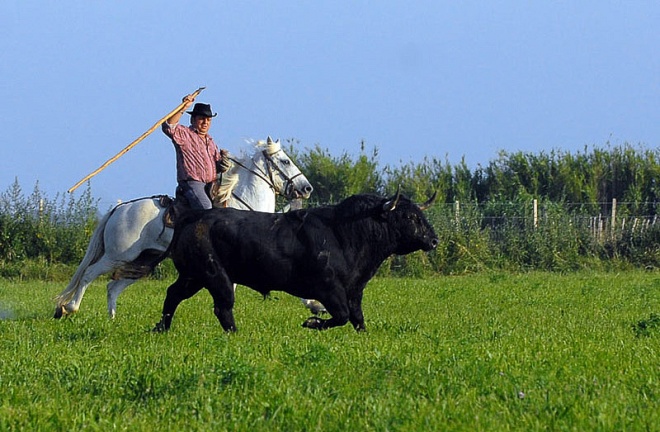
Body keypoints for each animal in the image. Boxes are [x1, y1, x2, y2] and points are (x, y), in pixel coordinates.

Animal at [51, 137, 314, 318]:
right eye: (285, 160)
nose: (307, 187)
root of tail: (120, 208)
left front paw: (314, 305)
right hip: (118, 255)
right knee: (89, 274)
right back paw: (69, 308)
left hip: (144, 260)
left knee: (112, 286)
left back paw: (112, 320)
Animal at [153, 192, 438, 330]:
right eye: (409, 217)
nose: (434, 240)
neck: (344, 233)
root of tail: (194, 216)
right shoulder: (328, 289)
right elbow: (342, 315)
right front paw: (311, 323)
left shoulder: (354, 290)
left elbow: (357, 318)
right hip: (214, 276)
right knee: (223, 307)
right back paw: (235, 333)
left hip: (193, 276)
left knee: (173, 295)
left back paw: (161, 328)